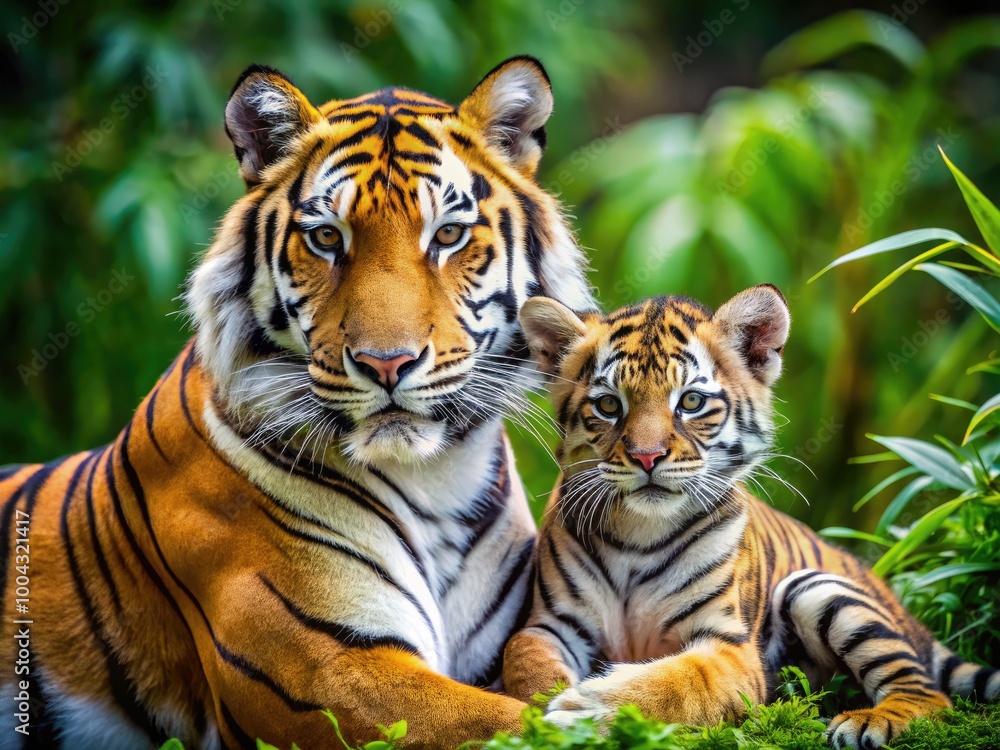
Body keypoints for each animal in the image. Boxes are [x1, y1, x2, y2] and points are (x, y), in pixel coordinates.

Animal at [0, 56, 596, 749]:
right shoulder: (329, 670)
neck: (436, 483)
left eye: (448, 234)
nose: (386, 363)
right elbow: (524, 724)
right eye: (327, 238)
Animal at [501, 286, 999, 750]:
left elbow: (676, 683)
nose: (647, 457)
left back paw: (870, 722)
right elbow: (525, 665)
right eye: (608, 406)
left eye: (691, 402)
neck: (639, 532)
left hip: (818, 589)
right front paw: (542, 715)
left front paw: (584, 713)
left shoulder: (731, 646)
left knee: (928, 693)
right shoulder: (550, 624)